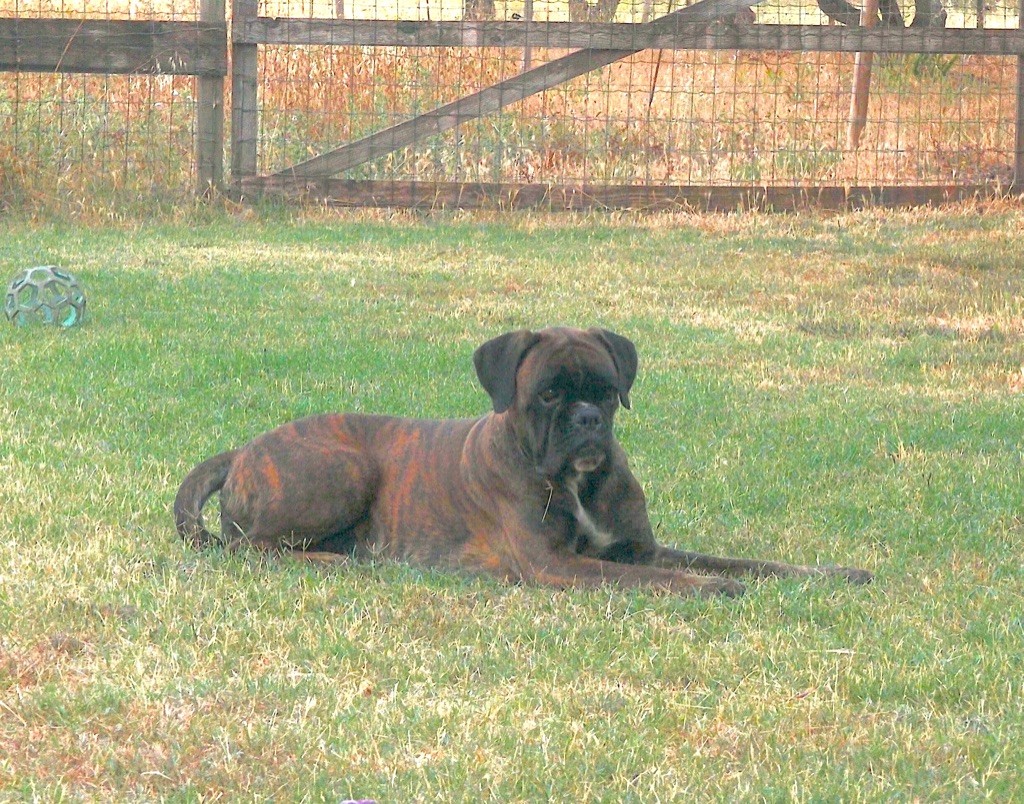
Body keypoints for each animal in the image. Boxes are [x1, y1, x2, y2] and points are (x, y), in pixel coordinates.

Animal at [174, 325, 872, 594]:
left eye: (605, 390)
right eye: (550, 395)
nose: (587, 420)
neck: (576, 485)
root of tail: (245, 449)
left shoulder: (639, 548)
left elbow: (743, 560)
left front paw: (832, 573)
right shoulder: (557, 566)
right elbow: (658, 580)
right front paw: (712, 588)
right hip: (347, 470)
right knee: (251, 549)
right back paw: (340, 561)